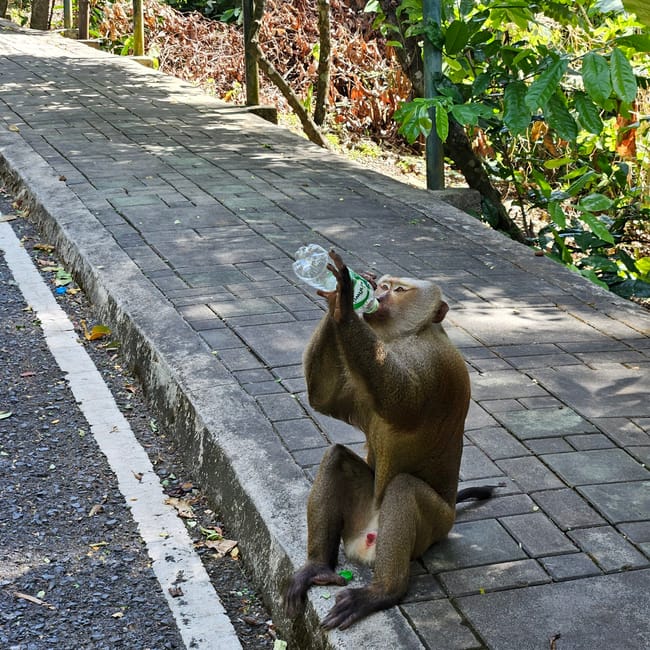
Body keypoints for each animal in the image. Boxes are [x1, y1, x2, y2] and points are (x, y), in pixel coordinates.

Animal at [285, 250, 490, 630]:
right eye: (384, 285)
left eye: (398, 289)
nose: (377, 293)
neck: (407, 335)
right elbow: (325, 398)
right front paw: (336, 302)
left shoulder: (431, 363)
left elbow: (400, 401)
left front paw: (346, 298)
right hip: (361, 515)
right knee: (337, 459)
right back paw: (317, 567)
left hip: (436, 526)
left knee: (404, 488)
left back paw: (383, 591)